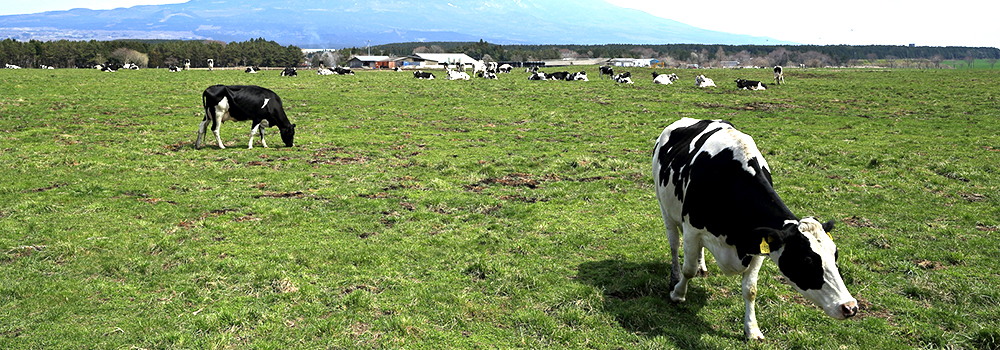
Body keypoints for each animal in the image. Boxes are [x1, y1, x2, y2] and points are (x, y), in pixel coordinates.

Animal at [648, 117, 860, 340]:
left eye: (835, 255)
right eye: (807, 260)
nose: (850, 307)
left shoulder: (758, 244)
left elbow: (751, 289)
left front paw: (752, 330)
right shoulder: (692, 229)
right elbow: (687, 269)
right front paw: (678, 294)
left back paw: (702, 266)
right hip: (665, 208)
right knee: (674, 245)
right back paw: (675, 276)